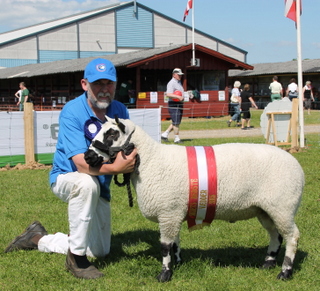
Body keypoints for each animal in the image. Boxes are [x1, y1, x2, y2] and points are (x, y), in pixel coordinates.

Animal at [84, 116, 304, 282]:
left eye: (112, 134)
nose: (87, 157)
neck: (151, 161)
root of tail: (297, 167)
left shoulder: (167, 212)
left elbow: (164, 246)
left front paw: (164, 274)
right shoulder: (173, 212)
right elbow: (174, 242)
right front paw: (178, 263)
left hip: (283, 206)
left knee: (292, 236)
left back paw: (284, 272)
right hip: (266, 209)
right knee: (276, 235)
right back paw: (267, 263)